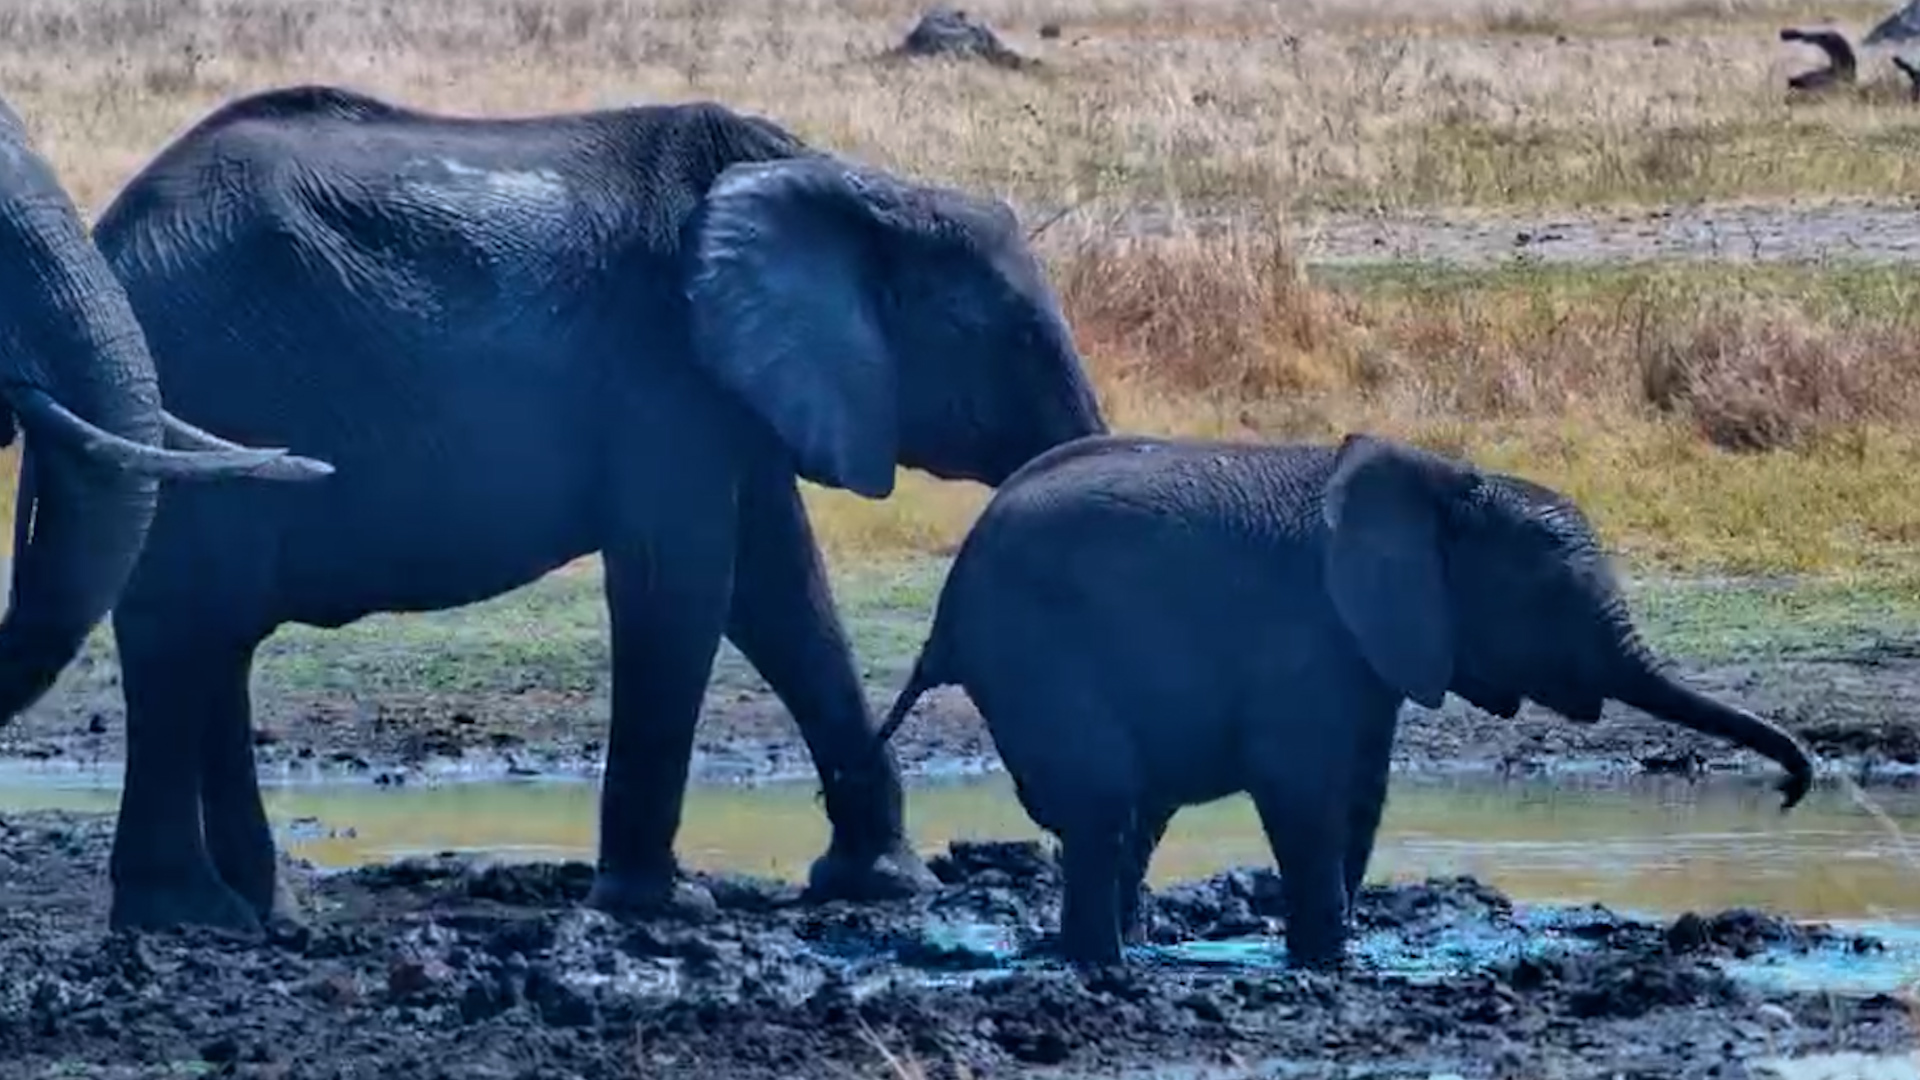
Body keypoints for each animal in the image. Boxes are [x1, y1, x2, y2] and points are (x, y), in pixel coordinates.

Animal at [85, 84, 1105, 934]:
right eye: (1012, 335)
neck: (853, 186)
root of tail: (114, 233)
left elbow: (782, 588)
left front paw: (883, 886)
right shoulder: (663, 373)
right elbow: (686, 582)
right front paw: (666, 908)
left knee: (214, 640)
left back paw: (264, 914)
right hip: (213, 377)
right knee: (186, 630)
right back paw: (187, 917)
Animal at [876, 431, 1816, 969]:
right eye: (1551, 599)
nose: (1790, 789)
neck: (1441, 485)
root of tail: (950, 597)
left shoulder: (1371, 648)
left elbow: (1363, 794)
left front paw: (1340, 952)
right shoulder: (1311, 632)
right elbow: (1303, 789)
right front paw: (1330, 965)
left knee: (1133, 811)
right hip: (1037, 648)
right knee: (1106, 802)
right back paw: (1104, 970)